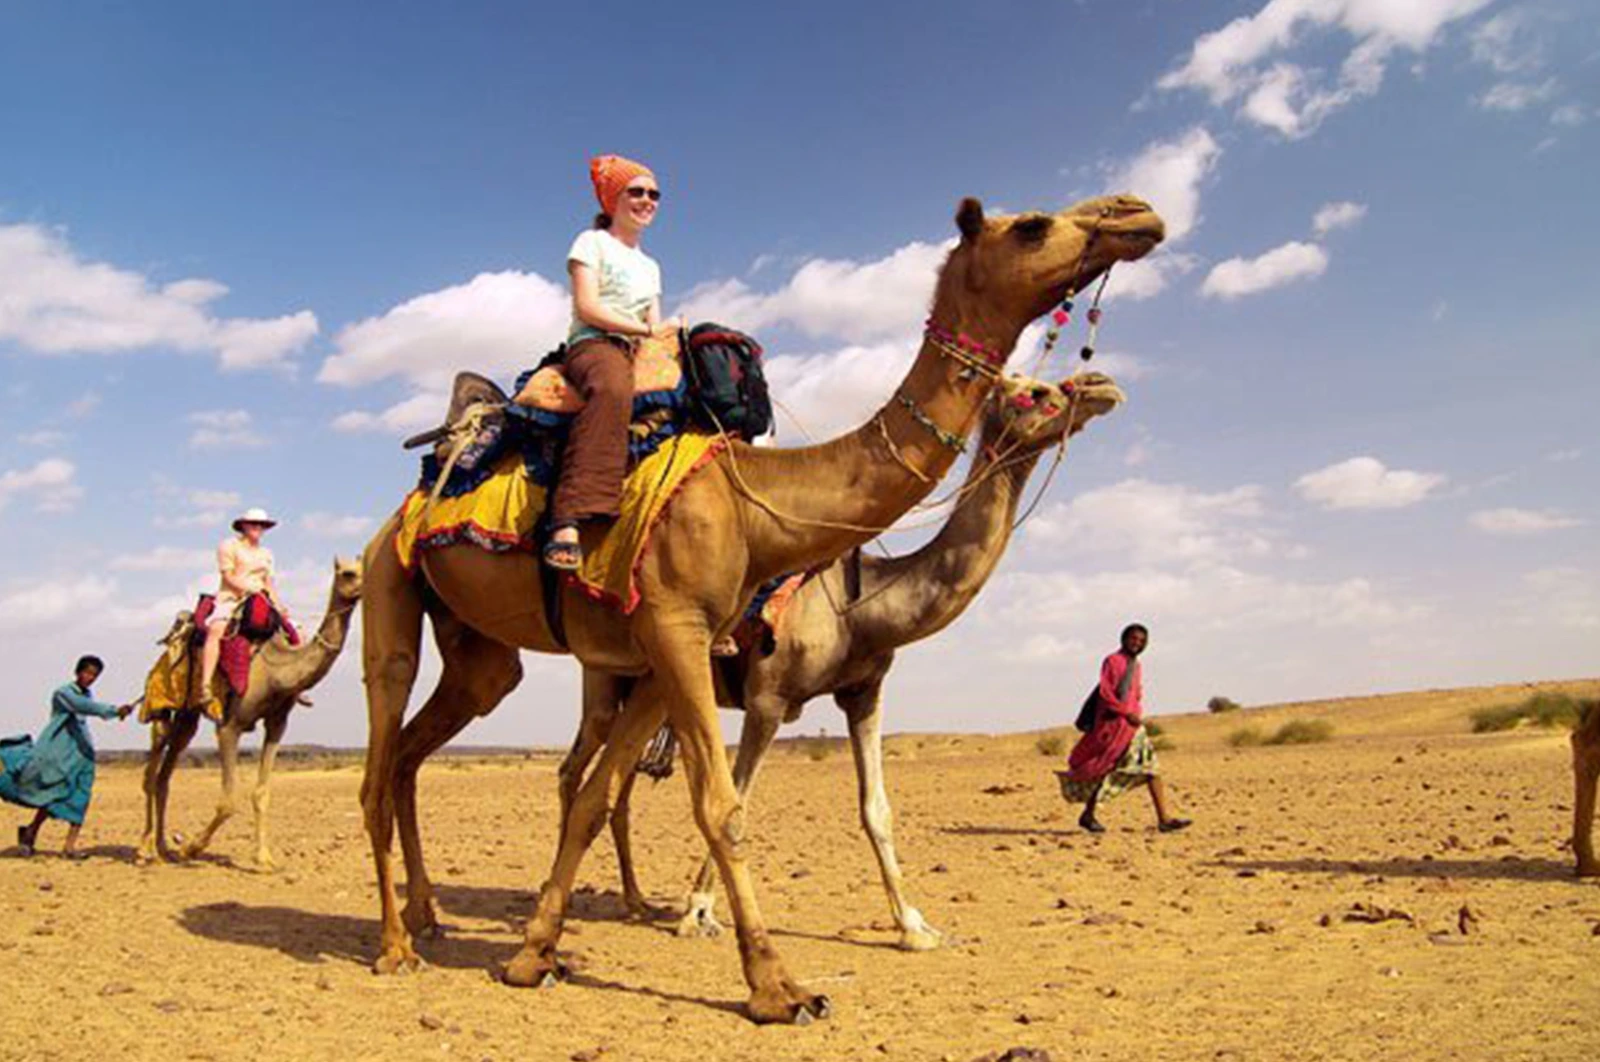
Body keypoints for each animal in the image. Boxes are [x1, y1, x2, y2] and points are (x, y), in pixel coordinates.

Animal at [136, 559, 363, 870]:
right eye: (348, 573)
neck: (277, 672)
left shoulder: (278, 723)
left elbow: (262, 793)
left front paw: (264, 858)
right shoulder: (229, 726)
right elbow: (229, 800)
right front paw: (191, 848)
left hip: (187, 717)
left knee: (164, 777)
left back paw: (162, 849)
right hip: (161, 703)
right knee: (151, 771)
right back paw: (144, 851)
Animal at [563, 371, 1126, 946]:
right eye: (1034, 391)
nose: (1102, 387)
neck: (862, 610)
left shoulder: (864, 692)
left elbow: (876, 807)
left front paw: (914, 925)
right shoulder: (768, 697)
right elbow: (738, 797)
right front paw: (697, 911)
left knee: (617, 786)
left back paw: (634, 900)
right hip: (606, 676)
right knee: (574, 770)